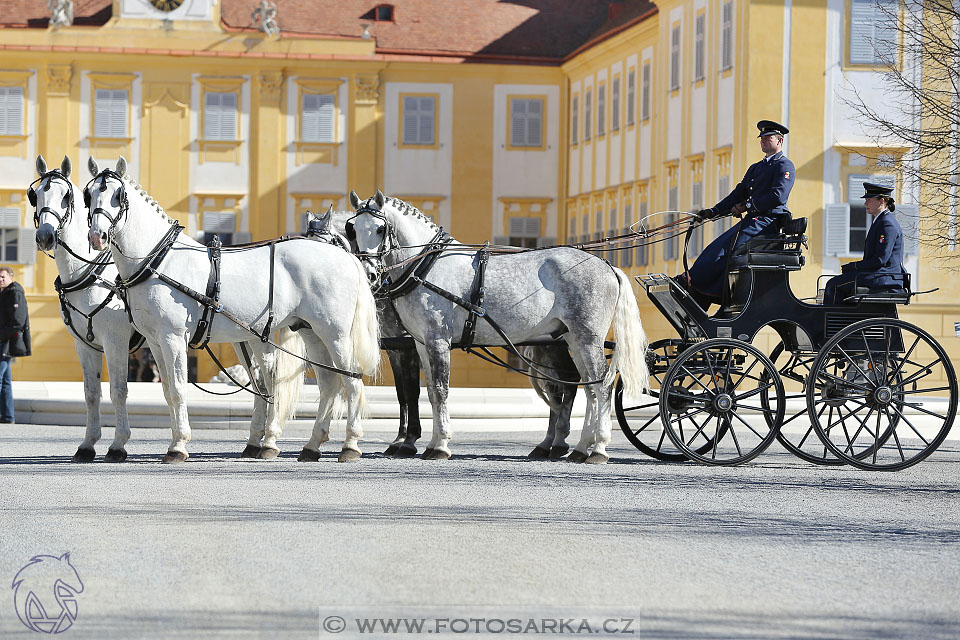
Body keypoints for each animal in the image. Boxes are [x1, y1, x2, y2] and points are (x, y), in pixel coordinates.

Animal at [30, 155, 137, 462]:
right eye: (36, 195)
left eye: (66, 197)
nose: (45, 236)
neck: (89, 273)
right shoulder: (84, 345)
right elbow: (91, 393)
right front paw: (88, 444)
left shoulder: (115, 342)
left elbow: (118, 390)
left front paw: (118, 445)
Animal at [85, 158, 378, 462]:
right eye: (88, 195)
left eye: (119, 196)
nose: (97, 236)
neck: (159, 259)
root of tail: (345, 256)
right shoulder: (155, 342)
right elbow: (167, 391)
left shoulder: (172, 337)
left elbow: (178, 389)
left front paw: (178, 445)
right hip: (312, 332)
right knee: (329, 383)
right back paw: (312, 445)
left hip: (336, 334)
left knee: (353, 381)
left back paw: (350, 444)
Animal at [348, 190, 648, 464]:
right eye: (353, 230)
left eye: (380, 228)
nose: (369, 274)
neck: (426, 266)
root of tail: (606, 265)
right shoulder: (421, 344)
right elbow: (430, 392)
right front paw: (431, 442)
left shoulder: (436, 341)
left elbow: (440, 390)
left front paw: (440, 445)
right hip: (572, 339)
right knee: (587, 387)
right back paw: (581, 447)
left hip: (587, 339)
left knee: (602, 387)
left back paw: (598, 449)